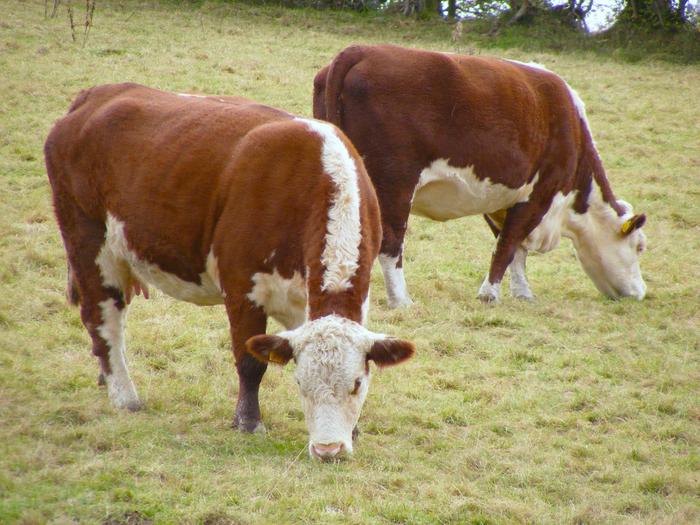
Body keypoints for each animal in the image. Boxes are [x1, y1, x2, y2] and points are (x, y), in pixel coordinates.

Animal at [44, 83, 414, 460]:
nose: (328, 449)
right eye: (300, 383)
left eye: (356, 383)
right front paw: (248, 422)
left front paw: (353, 430)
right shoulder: (242, 289)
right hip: (88, 243)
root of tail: (95, 95)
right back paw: (124, 394)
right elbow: (250, 362)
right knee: (104, 319)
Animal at [313, 45, 647, 306]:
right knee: (391, 241)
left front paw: (522, 293)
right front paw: (489, 294)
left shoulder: (502, 199)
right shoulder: (541, 192)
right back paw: (401, 300)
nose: (640, 293)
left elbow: (514, 248)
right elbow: (508, 245)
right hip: (395, 185)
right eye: (639, 246)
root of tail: (361, 50)